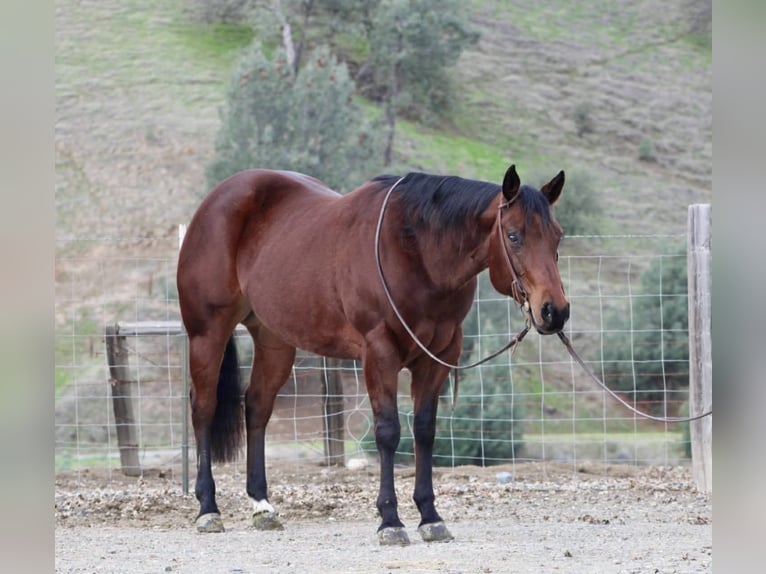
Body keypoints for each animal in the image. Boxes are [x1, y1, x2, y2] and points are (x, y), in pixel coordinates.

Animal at [176, 164, 569, 545]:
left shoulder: (438, 357)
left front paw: (430, 516)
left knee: (257, 406)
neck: (416, 251)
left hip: (274, 341)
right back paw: (208, 508)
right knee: (203, 408)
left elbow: (424, 430)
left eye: (558, 235)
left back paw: (262, 505)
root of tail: (214, 201)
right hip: (207, 334)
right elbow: (388, 431)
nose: (555, 311)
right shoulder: (379, 353)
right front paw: (390, 520)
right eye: (514, 235)